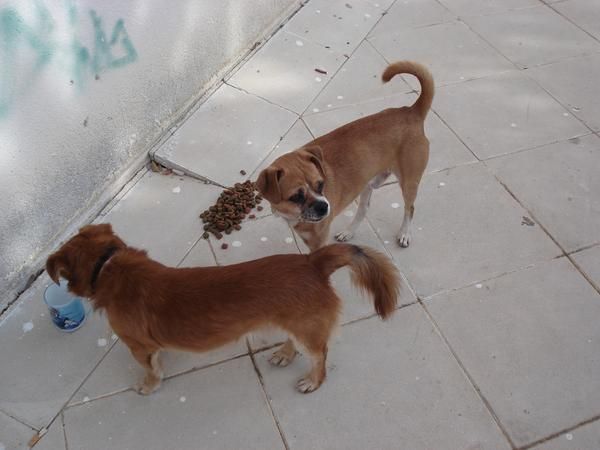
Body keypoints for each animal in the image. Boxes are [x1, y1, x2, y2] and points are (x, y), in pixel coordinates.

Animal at [47, 225, 400, 394]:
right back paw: (285, 354)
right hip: (294, 323)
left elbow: (151, 369)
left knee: (320, 357)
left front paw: (149, 385)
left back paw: (314, 380)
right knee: (295, 342)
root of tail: (313, 262)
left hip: (309, 334)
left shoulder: (138, 347)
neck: (107, 265)